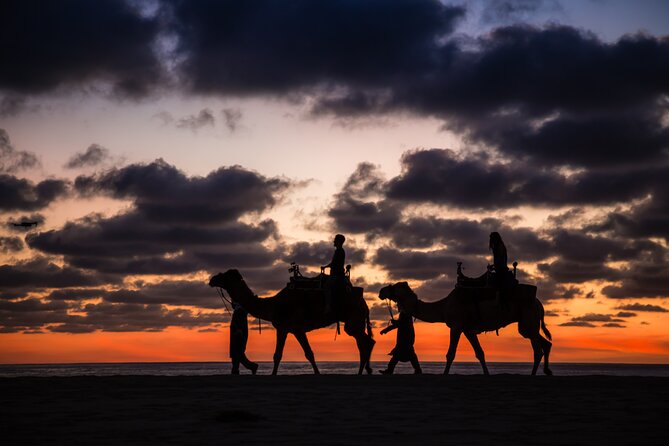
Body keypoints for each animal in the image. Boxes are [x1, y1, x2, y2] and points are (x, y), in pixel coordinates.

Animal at [209, 269, 375, 375]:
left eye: (225, 276)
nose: (212, 279)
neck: (273, 305)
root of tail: (364, 302)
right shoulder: (292, 329)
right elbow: (306, 353)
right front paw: (317, 373)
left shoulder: (288, 328)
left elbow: (281, 355)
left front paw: (273, 375)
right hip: (356, 321)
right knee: (366, 342)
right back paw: (366, 370)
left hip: (353, 320)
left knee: (365, 342)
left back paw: (362, 371)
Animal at [378, 281, 553, 375]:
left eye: (395, 286)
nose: (381, 291)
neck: (443, 307)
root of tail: (540, 304)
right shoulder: (468, 330)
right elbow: (480, 353)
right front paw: (487, 374)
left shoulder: (456, 326)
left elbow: (450, 354)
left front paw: (445, 374)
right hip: (529, 324)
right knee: (545, 343)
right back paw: (547, 371)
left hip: (528, 319)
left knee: (537, 349)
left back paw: (532, 374)